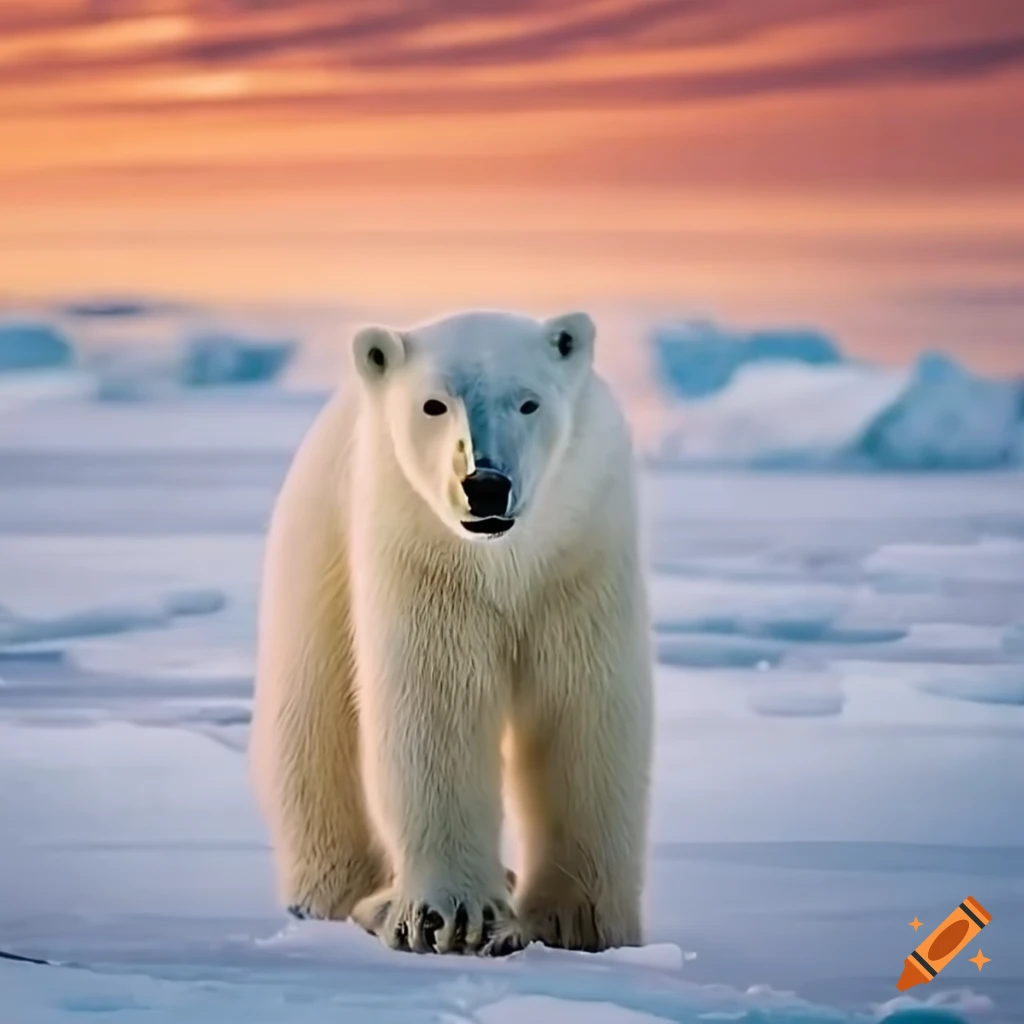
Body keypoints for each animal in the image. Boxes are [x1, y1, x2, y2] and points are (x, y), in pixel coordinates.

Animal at [249, 308, 654, 956]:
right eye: (433, 405)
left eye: (529, 402)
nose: (484, 484)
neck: (503, 556)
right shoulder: (422, 552)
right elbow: (435, 706)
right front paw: (455, 920)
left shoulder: (581, 552)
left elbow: (583, 710)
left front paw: (581, 924)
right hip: (318, 544)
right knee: (312, 721)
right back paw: (354, 898)